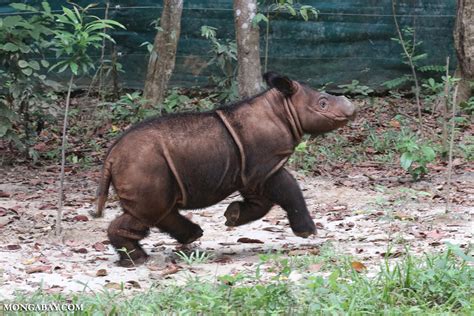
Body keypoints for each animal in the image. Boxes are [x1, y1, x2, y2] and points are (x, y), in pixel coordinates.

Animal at [91, 72, 356, 266]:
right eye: (323, 103)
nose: (351, 107)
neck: (283, 108)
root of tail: (111, 157)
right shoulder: (266, 166)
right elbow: (290, 190)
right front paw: (307, 233)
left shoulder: (252, 171)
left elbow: (262, 203)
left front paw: (232, 216)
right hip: (142, 163)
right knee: (149, 211)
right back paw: (138, 260)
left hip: (143, 165)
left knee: (158, 209)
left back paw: (187, 239)